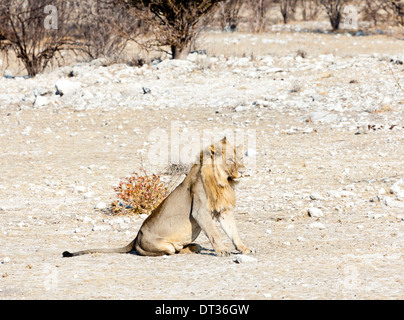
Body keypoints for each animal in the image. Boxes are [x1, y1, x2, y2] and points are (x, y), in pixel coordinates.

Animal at [62, 138, 249, 258]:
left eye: (241, 158)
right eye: (230, 160)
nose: (243, 171)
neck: (223, 181)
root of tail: (136, 237)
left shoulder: (223, 210)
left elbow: (233, 232)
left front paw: (244, 249)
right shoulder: (200, 210)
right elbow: (214, 234)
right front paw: (222, 251)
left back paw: (193, 247)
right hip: (160, 246)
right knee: (170, 251)